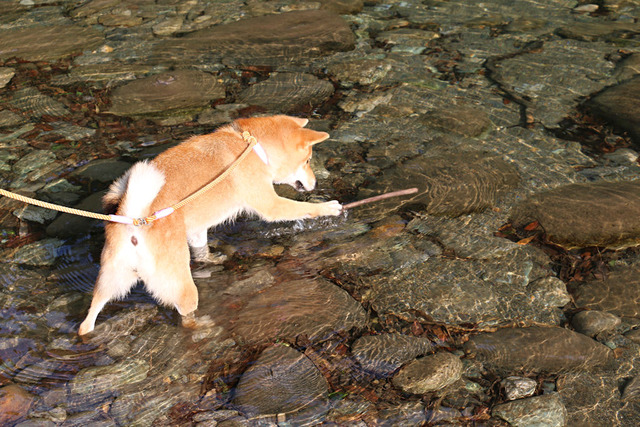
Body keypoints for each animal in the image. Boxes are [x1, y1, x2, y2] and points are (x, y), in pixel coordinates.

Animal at [77, 115, 342, 336]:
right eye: (307, 160)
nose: (315, 183)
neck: (254, 148)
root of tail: (135, 220)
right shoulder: (271, 205)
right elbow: (301, 208)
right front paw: (328, 207)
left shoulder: (196, 229)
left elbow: (202, 250)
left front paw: (212, 259)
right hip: (180, 285)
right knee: (185, 316)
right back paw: (204, 326)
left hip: (112, 280)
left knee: (88, 319)